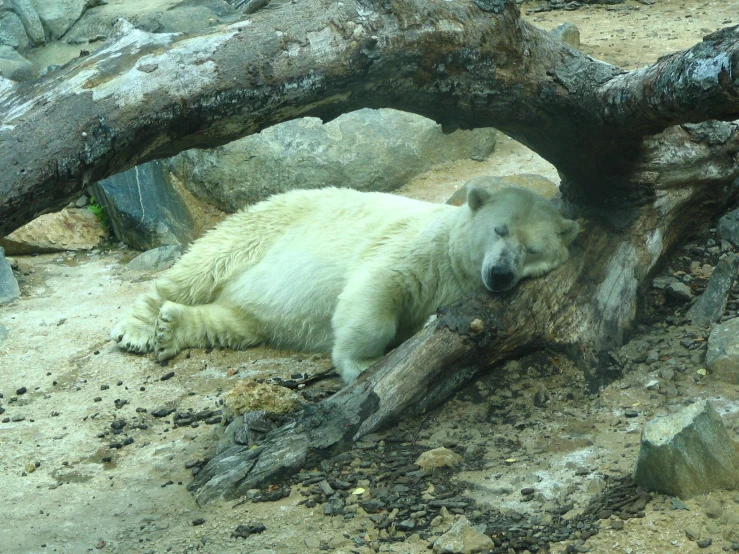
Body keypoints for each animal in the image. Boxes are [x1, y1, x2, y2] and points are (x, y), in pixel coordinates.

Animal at [114, 185, 580, 380]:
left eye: (533, 249)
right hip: (259, 229)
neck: (452, 261)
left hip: (251, 308)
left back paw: (173, 328)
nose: (500, 274)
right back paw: (137, 329)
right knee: (200, 268)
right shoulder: (415, 247)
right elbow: (376, 289)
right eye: (499, 229)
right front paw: (361, 363)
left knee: (234, 324)